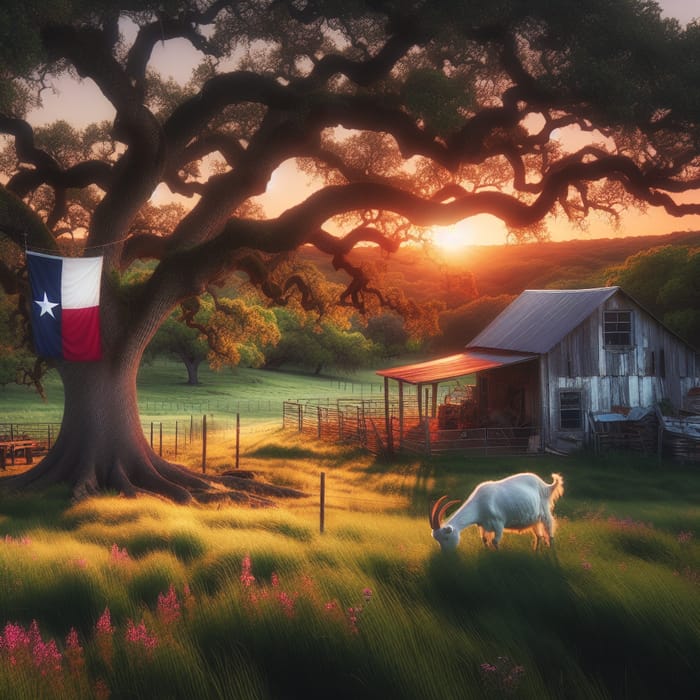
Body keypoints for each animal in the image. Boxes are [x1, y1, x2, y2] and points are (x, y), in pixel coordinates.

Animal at [430, 476, 568, 552]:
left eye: (446, 538)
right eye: (437, 540)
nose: (446, 555)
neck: (479, 505)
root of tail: (545, 486)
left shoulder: (498, 524)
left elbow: (495, 542)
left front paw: (499, 556)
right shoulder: (482, 525)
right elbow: (484, 539)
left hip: (544, 512)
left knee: (549, 528)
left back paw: (551, 549)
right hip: (534, 518)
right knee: (539, 535)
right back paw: (535, 551)